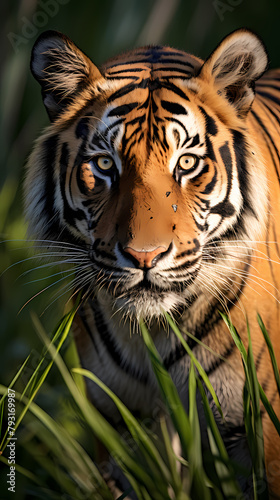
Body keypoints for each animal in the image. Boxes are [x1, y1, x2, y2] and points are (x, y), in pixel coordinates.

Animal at [25, 29, 280, 498]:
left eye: (187, 163)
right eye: (104, 164)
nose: (145, 256)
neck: (151, 334)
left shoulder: (260, 432)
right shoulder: (120, 423)